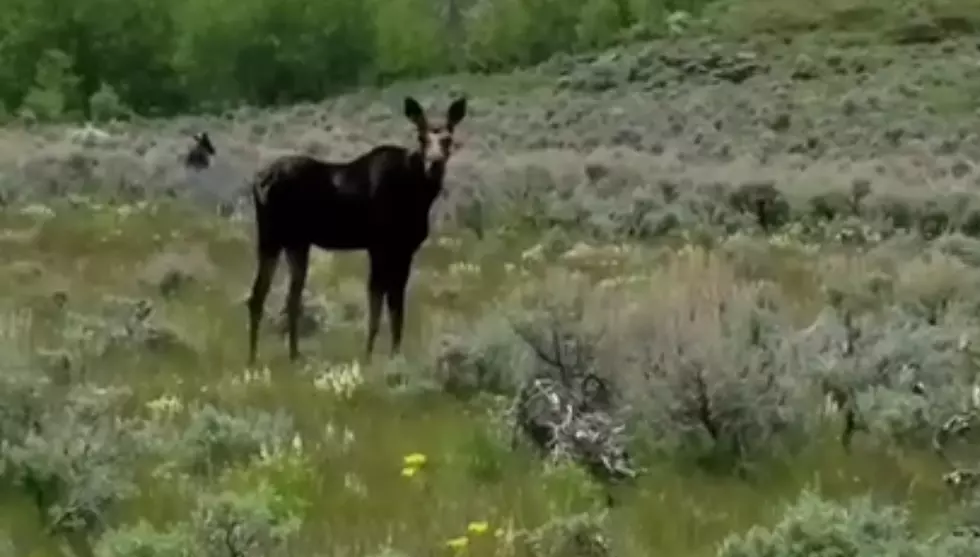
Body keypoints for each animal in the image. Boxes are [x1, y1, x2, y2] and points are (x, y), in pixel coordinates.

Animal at [249, 95, 470, 364]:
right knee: (264, 295)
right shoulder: (381, 246)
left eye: (448, 139)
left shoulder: (403, 250)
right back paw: (259, 358)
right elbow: (379, 302)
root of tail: (259, 182)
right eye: (421, 137)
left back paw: (285, 356)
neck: (420, 195)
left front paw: (394, 355)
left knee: (279, 297)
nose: (434, 164)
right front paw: (369, 356)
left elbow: (396, 307)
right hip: (275, 238)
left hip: (292, 242)